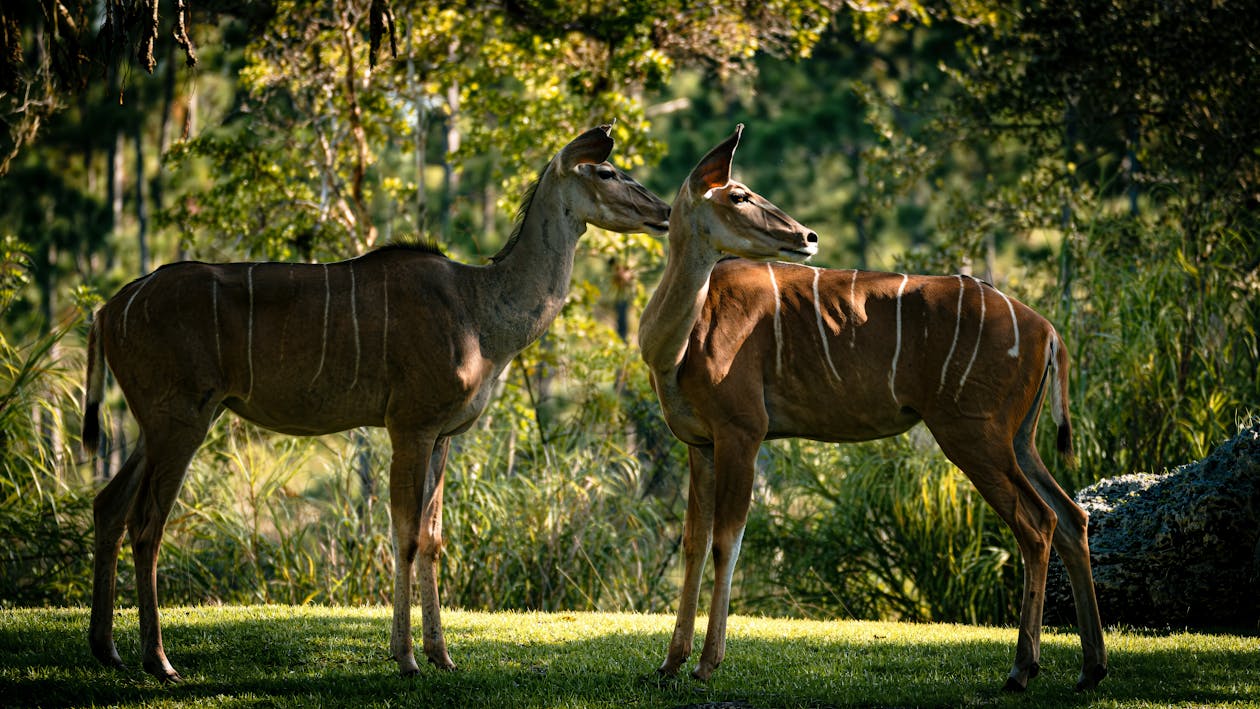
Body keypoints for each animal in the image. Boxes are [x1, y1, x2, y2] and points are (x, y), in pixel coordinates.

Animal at [83, 123, 675, 680]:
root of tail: (107, 311)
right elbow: (406, 535)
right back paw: (159, 661)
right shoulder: (409, 424)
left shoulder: (443, 435)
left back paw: (108, 650)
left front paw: (442, 656)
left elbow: (433, 537)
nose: (665, 211)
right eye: (607, 172)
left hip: (158, 422)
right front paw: (407, 658)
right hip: (181, 417)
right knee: (147, 523)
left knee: (108, 504)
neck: (482, 312)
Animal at [635, 124, 1108, 690]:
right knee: (1073, 515)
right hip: (1019, 437)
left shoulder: (741, 432)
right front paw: (668, 663)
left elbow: (727, 542)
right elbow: (692, 541)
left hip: (973, 433)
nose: (808, 236)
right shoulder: (700, 443)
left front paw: (707, 665)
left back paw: (1022, 668)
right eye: (739, 195)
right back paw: (1090, 669)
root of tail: (1048, 331)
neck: (677, 344)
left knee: (1037, 523)